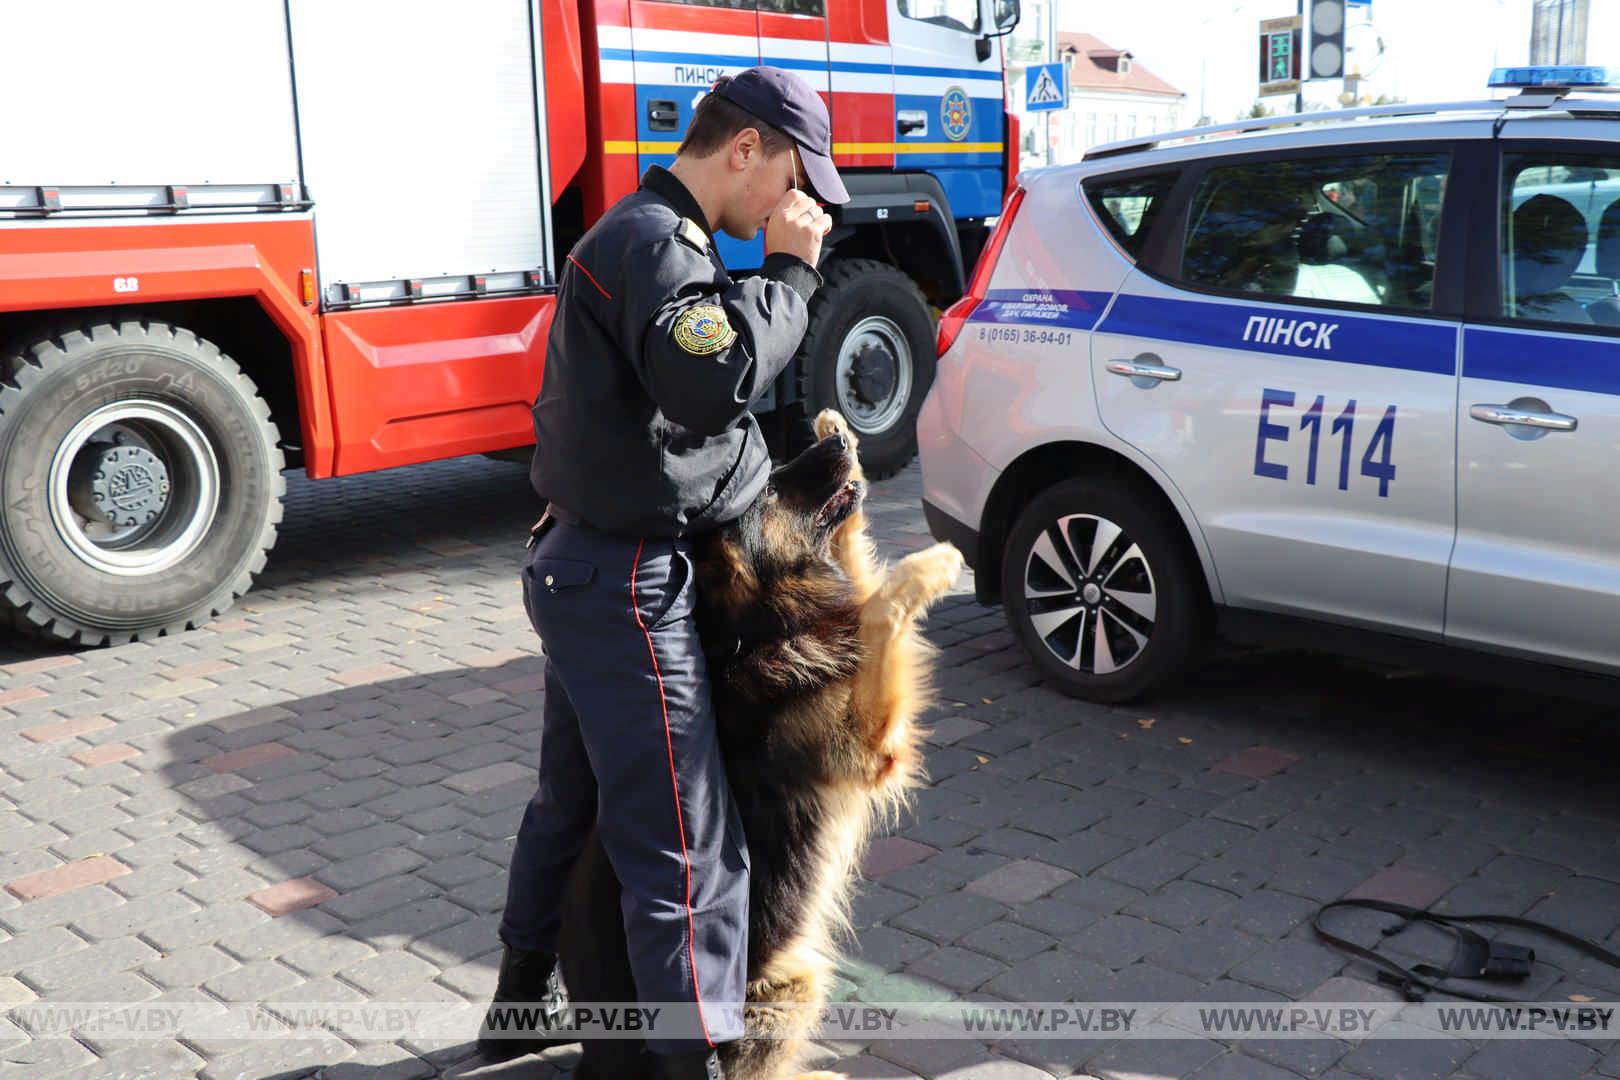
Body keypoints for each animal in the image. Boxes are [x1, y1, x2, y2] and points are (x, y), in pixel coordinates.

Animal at [557, 409, 959, 1075]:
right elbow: (877, 611)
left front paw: (838, 424)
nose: (839, 440)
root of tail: (601, 1057)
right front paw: (932, 566)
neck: (756, 629)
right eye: (768, 489)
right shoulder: (867, 745)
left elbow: (858, 573)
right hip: (795, 983)